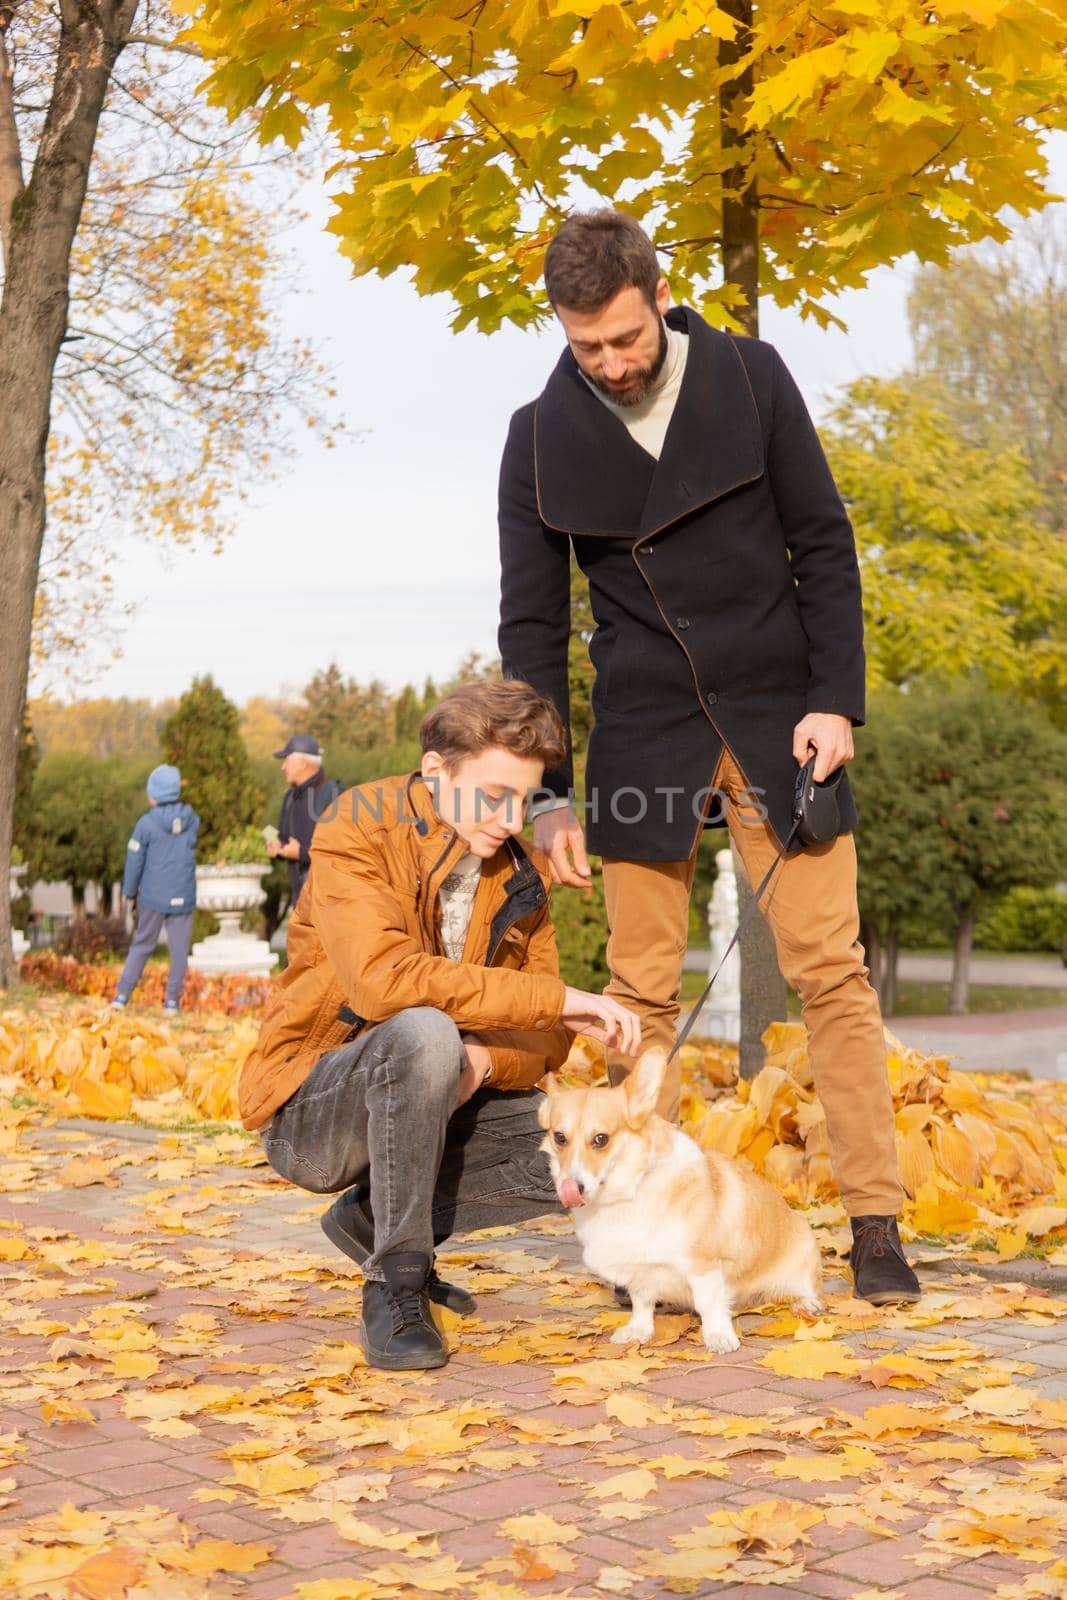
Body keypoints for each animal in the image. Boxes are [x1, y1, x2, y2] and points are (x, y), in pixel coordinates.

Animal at [543, 1049, 825, 1350]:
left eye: (600, 1139)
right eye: (559, 1137)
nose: (572, 1187)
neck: (630, 1191)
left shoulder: (702, 1265)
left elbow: (708, 1303)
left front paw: (718, 1336)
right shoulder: (640, 1269)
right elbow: (641, 1301)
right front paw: (639, 1330)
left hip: (802, 1260)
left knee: (806, 1290)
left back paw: (805, 1304)